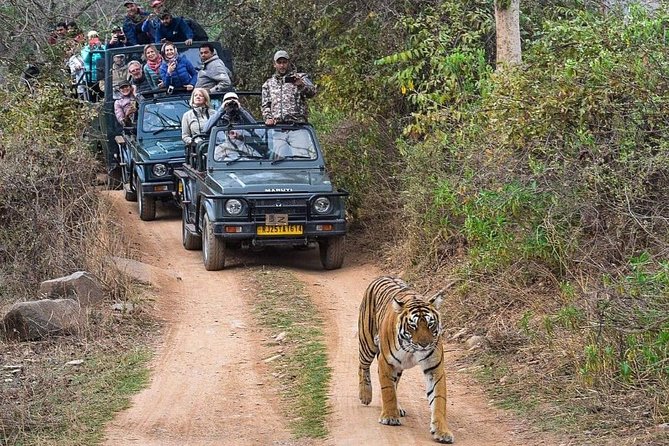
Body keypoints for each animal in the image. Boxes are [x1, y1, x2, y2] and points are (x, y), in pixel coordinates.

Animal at [358, 276, 454, 444]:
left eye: (430, 324)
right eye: (413, 326)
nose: (425, 344)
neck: (412, 350)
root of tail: (382, 276)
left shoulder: (434, 369)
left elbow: (439, 399)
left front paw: (442, 431)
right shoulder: (386, 362)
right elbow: (388, 390)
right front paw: (390, 417)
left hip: (397, 367)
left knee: (394, 382)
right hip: (367, 342)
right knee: (362, 366)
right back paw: (365, 395)